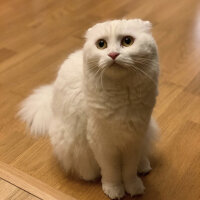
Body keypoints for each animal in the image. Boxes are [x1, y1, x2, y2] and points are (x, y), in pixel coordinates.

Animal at [18, 18, 159, 198]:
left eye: (127, 41)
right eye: (101, 44)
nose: (113, 55)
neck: (122, 96)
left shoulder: (134, 139)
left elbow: (129, 171)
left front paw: (133, 188)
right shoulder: (103, 144)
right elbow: (112, 172)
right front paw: (114, 190)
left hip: (147, 132)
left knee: (142, 157)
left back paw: (144, 167)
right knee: (87, 168)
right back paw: (90, 176)